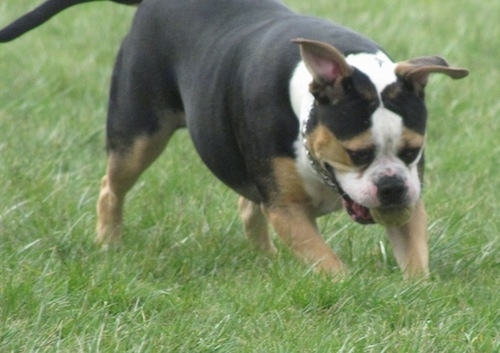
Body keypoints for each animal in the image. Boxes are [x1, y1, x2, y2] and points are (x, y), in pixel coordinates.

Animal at [0, 0, 468, 278]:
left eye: (412, 152)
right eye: (358, 154)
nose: (390, 186)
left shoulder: (411, 199)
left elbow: (415, 253)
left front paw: (416, 289)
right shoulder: (287, 208)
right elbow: (325, 259)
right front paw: (347, 286)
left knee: (248, 205)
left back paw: (266, 260)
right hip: (138, 136)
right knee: (111, 186)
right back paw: (109, 242)